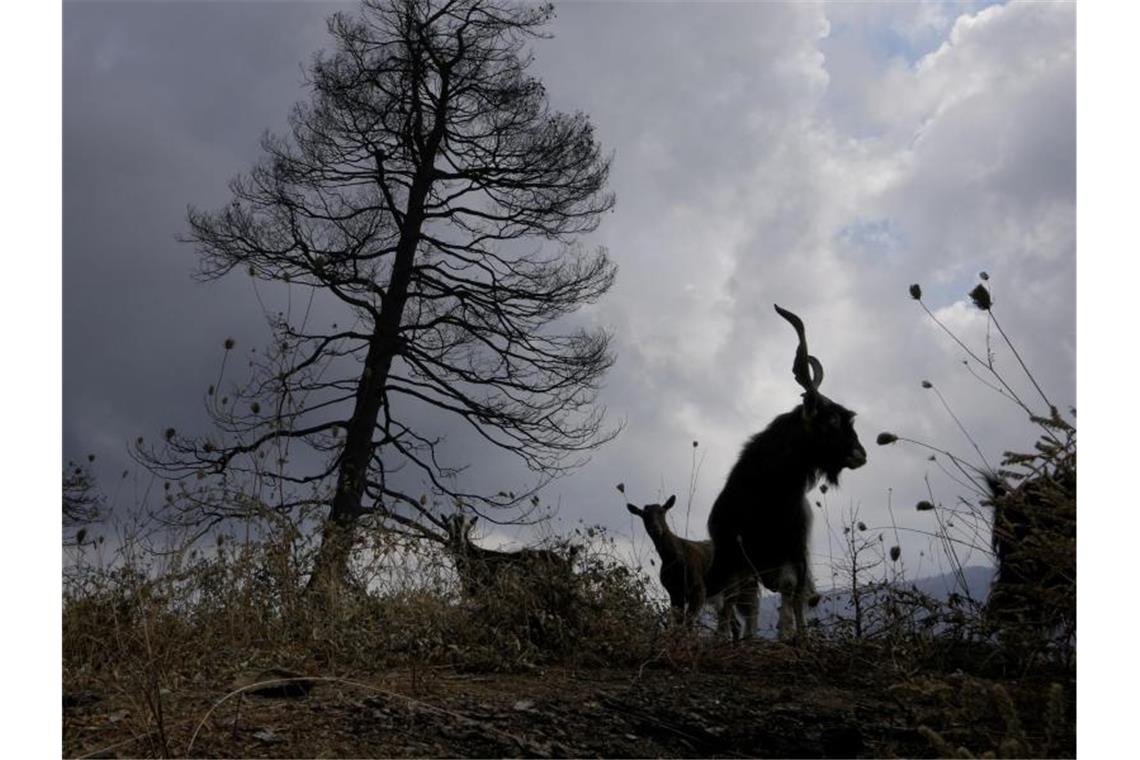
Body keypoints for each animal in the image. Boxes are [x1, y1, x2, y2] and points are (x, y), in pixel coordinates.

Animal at [624, 496, 756, 638]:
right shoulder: (674, 591)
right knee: (735, 624)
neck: (673, 559)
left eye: (662, 512)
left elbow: (689, 621)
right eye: (644, 515)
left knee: (732, 620)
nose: (656, 529)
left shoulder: (699, 588)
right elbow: (679, 620)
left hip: (736, 587)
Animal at [702, 305, 861, 638]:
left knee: (794, 597)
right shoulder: (730, 553)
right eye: (831, 419)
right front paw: (727, 638)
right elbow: (730, 601)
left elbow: (793, 594)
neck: (768, 496)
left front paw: (792, 635)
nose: (860, 454)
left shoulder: (794, 551)